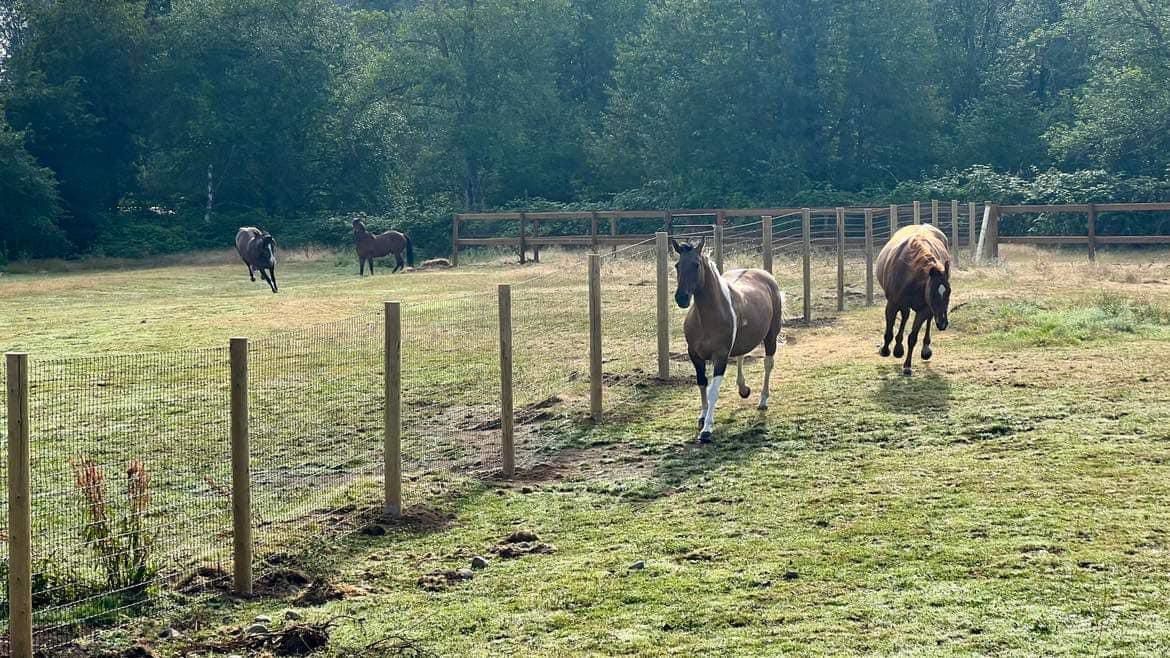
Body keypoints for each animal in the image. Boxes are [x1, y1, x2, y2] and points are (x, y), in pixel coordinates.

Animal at [673, 237, 781, 442]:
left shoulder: (720, 356)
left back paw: (763, 400)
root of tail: (765, 275)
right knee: (740, 356)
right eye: (677, 265)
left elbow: (713, 391)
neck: (706, 318)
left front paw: (707, 429)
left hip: (771, 336)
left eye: (696, 264)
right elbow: (702, 383)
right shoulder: (695, 355)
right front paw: (702, 416)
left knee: (768, 364)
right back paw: (743, 389)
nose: (681, 298)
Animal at [875, 222, 954, 374]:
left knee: (926, 320)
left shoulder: (924, 309)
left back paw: (925, 349)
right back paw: (897, 348)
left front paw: (907, 366)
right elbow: (889, 331)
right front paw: (885, 350)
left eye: (949, 292)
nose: (943, 323)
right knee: (905, 316)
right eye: (933, 293)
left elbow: (912, 337)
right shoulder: (892, 304)